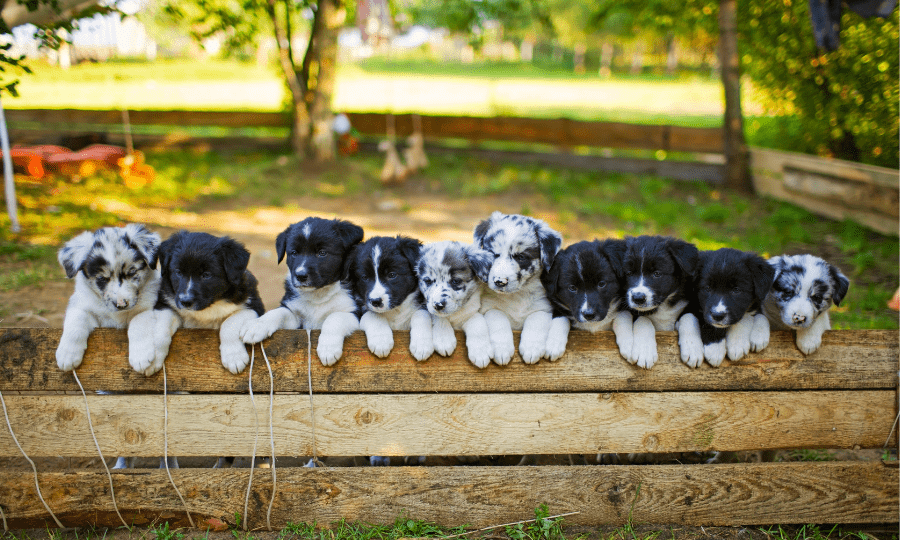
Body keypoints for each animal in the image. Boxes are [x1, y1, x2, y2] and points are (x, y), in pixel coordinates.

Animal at [57, 224, 161, 372]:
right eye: (102, 279)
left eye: (132, 272)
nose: (121, 305)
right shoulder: (82, 305)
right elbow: (76, 321)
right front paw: (67, 355)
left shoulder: (149, 307)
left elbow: (138, 321)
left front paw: (141, 356)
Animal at [128, 231, 266, 376]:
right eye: (178, 272)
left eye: (206, 275)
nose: (185, 301)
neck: (207, 308)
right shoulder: (166, 304)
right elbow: (160, 330)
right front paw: (152, 357)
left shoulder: (254, 305)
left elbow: (230, 323)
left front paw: (234, 356)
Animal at [243, 217, 366, 364]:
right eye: (294, 253)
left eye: (322, 253)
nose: (300, 276)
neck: (318, 295)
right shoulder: (297, 320)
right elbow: (278, 312)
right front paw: (256, 326)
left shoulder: (354, 312)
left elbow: (334, 317)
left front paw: (328, 348)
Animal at [472, 210, 564, 362]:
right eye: (492, 254)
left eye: (521, 257)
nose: (499, 281)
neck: (516, 295)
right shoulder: (488, 306)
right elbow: (498, 317)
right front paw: (502, 349)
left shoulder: (543, 307)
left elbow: (535, 319)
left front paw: (531, 348)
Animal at [616, 237, 700, 372]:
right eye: (629, 273)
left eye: (657, 274)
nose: (638, 298)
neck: (662, 306)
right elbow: (644, 319)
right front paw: (644, 352)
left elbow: (689, 316)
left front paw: (693, 349)